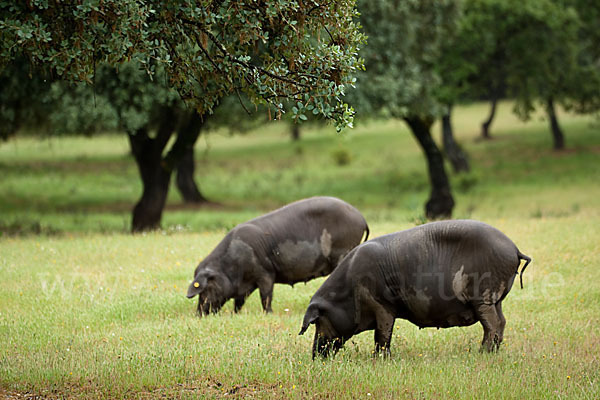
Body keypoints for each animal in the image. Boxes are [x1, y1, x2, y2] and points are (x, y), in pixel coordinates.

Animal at [185, 197, 368, 316]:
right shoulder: (246, 285)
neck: (232, 265)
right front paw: (236, 314)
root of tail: (361, 218)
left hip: (343, 250)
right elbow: (240, 301)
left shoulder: (265, 272)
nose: (198, 314)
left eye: (205, 288)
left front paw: (268, 314)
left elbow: (266, 295)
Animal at [298, 220, 528, 358]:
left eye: (317, 321)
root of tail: (514, 249)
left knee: (493, 324)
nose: (314, 356)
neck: (348, 291)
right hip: (495, 299)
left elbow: (382, 334)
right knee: (502, 321)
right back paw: (492, 352)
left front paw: (379, 359)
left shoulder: (381, 305)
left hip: (483, 296)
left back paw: (482, 353)